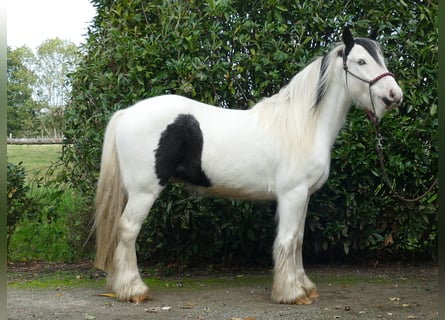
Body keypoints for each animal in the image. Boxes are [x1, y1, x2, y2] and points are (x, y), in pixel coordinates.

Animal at [93, 26, 402, 302]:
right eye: (361, 61)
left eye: (382, 59)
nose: (394, 95)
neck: (303, 125)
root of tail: (126, 113)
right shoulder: (292, 194)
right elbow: (288, 239)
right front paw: (291, 293)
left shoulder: (304, 196)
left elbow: (298, 240)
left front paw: (305, 287)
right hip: (144, 191)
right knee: (128, 230)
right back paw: (134, 290)